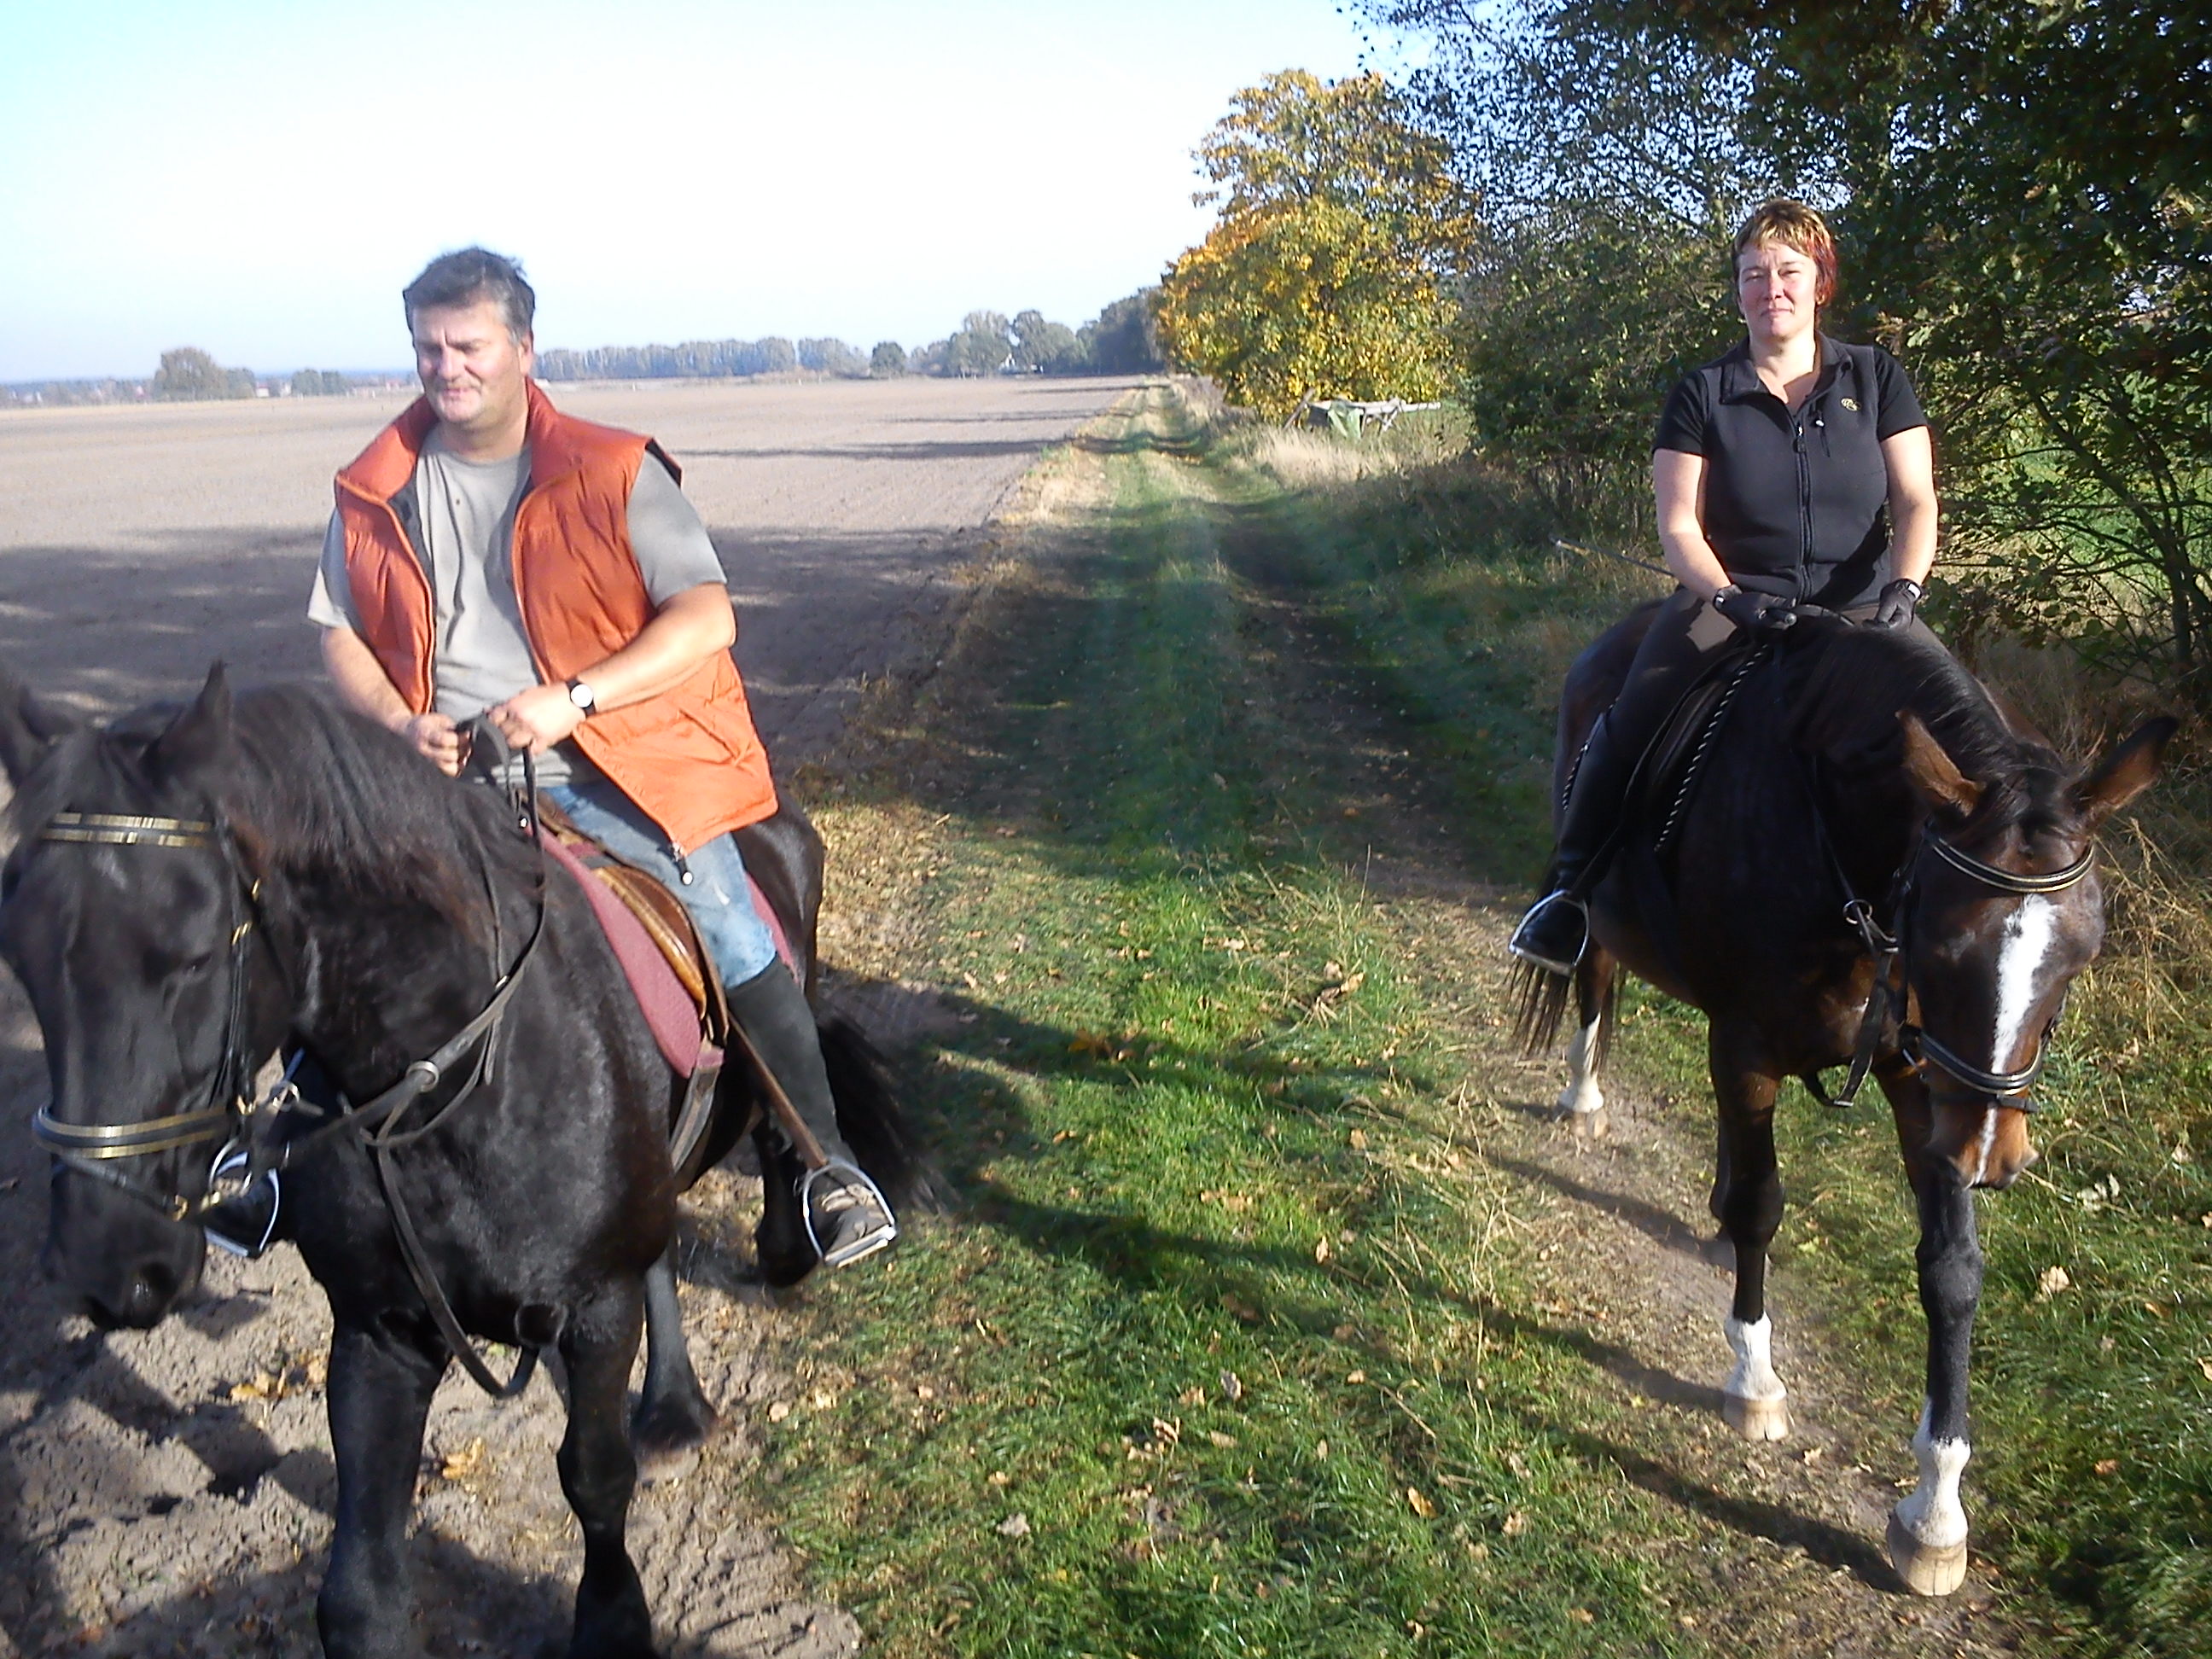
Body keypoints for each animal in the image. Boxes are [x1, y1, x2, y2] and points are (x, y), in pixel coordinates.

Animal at [0, 667, 911, 1654]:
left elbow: (594, 1478)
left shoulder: (596, 1312)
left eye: (197, 956)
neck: (458, 1083)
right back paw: (672, 1407)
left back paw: (809, 1230)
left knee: (780, 1124)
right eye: (24, 964)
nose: (105, 1262)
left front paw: (615, 1615)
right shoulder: (378, 1332)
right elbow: (360, 1589)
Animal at [1522, 610, 2176, 1601]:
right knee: (1594, 974)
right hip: (1601, 908)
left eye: (2082, 952)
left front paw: (1936, 1512)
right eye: (1943, 944)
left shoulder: (1925, 1079)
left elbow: (1952, 1273)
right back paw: (1584, 1094)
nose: (1992, 1155)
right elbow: (1763, 1203)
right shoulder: (1749, 1046)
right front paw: (1754, 1379)